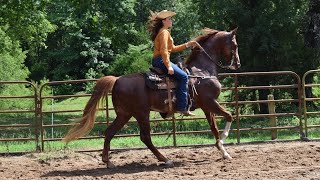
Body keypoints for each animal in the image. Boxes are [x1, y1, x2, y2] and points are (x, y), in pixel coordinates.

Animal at [63, 27, 240, 168]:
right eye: (235, 45)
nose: (237, 64)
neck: (202, 72)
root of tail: (117, 80)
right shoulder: (211, 102)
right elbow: (229, 116)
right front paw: (223, 140)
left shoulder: (206, 106)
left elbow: (214, 128)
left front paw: (223, 151)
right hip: (141, 113)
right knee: (145, 137)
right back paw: (165, 159)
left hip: (124, 114)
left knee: (109, 132)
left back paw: (108, 161)